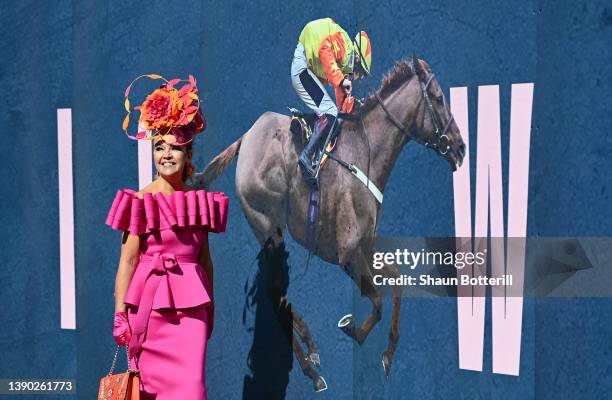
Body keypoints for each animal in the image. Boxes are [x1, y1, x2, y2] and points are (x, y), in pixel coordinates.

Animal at [194, 54, 466, 392]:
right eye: (439, 99)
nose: (461, 148)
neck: (366, 153)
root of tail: (247, 138)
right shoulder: (346, 253)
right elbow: (376, 300)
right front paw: (352, 329)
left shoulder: (367, 247)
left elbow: (397, 282)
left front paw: (388, 354)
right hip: (268, 225)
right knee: (274, 293)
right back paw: (312, 369)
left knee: (277, 295)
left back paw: (311, 348)